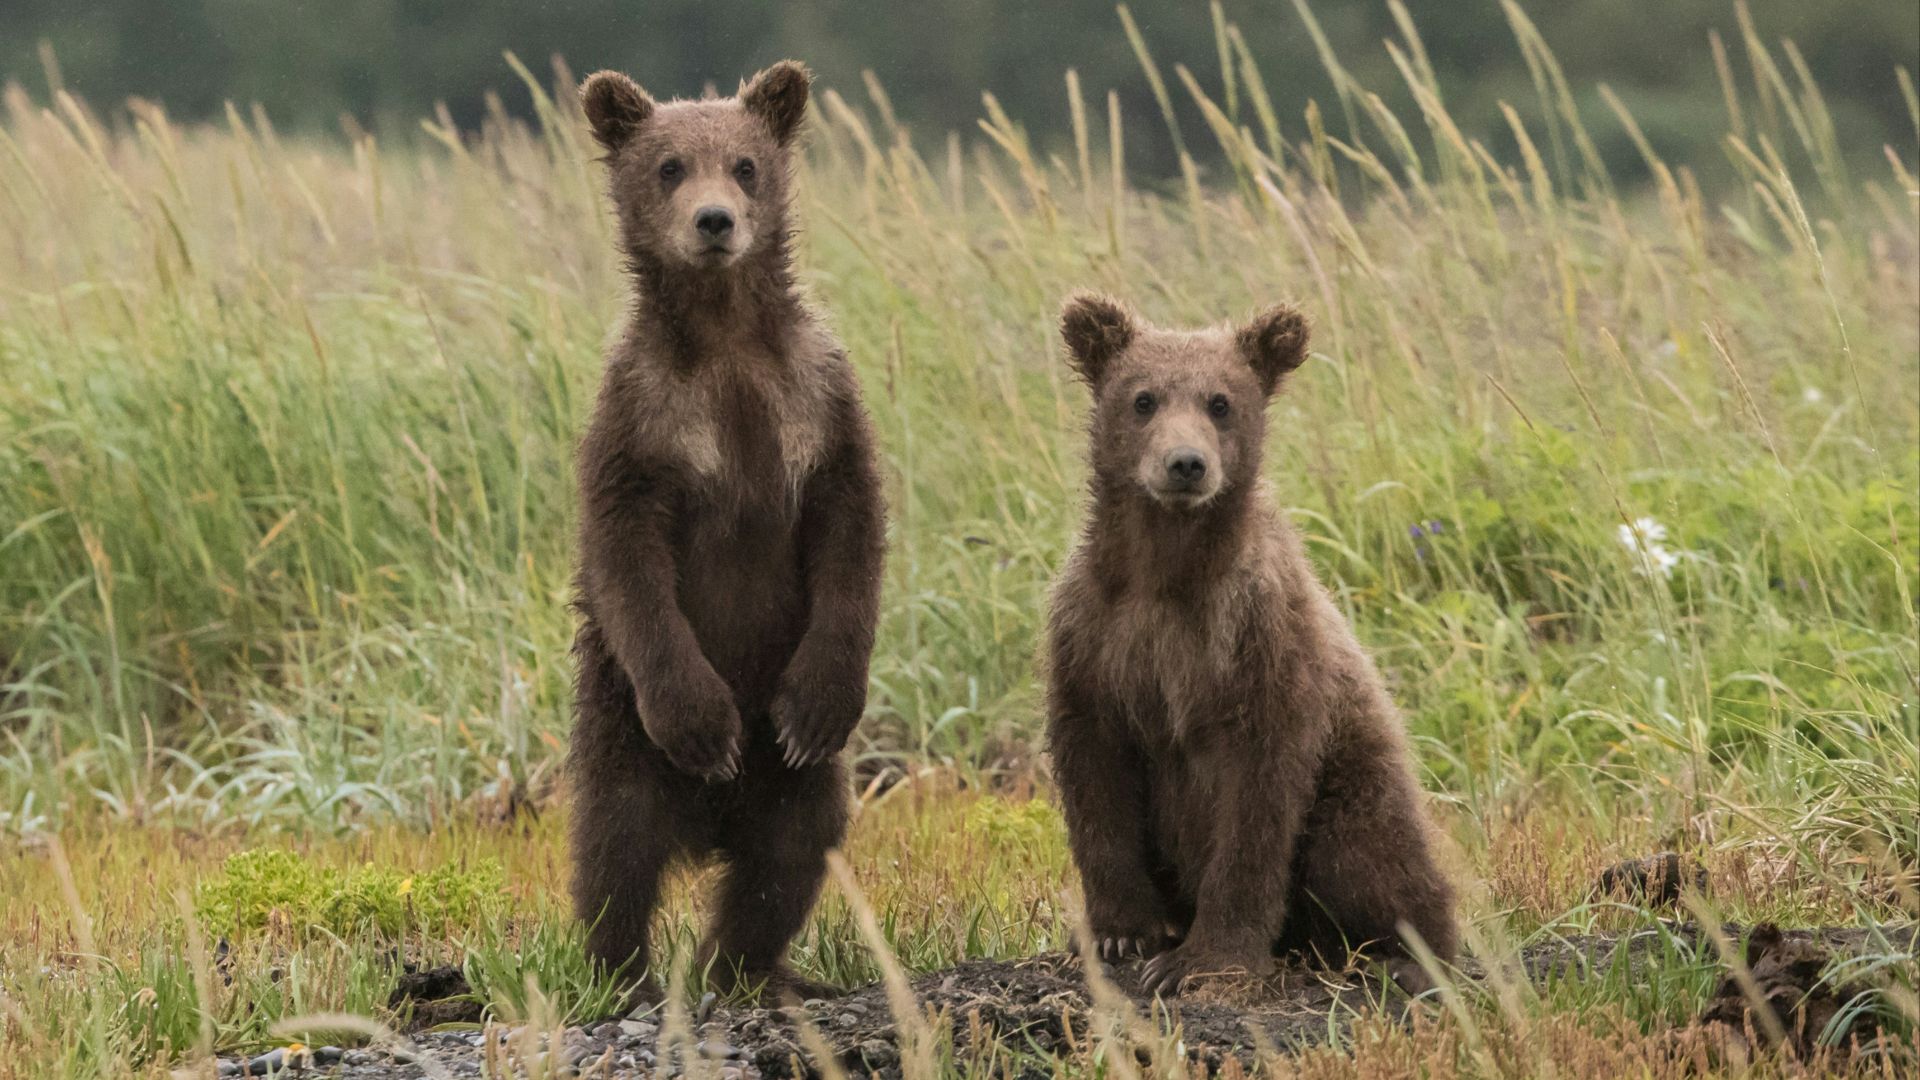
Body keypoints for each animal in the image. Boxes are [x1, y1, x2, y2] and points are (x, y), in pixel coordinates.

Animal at [567, 61, 885, 1002]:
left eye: (744, 164)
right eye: (669, 165)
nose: (715, 221)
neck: (725, 337)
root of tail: (709, 826)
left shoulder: (816, 400)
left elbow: (851, 532)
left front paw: (818, 704)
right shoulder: (641, 419)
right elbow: (629, 560)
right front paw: (706, 724)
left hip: (792, 785)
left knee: (789, 853)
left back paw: (752, 970)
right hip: (621, 732)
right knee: (616, 849)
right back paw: (623, 975)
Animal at [1044, 292, 1458, 997]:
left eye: (1220, 402)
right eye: (1143, 398)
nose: (1186, 463)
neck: (1167, 573)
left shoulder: (1258, 642)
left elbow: (1256, 805)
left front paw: (1200, 960)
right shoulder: (1095, 636)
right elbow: (1096, 780)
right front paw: (1121, 933)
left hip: (1356, 779)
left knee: (1372, 856)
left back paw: (1407, 955)